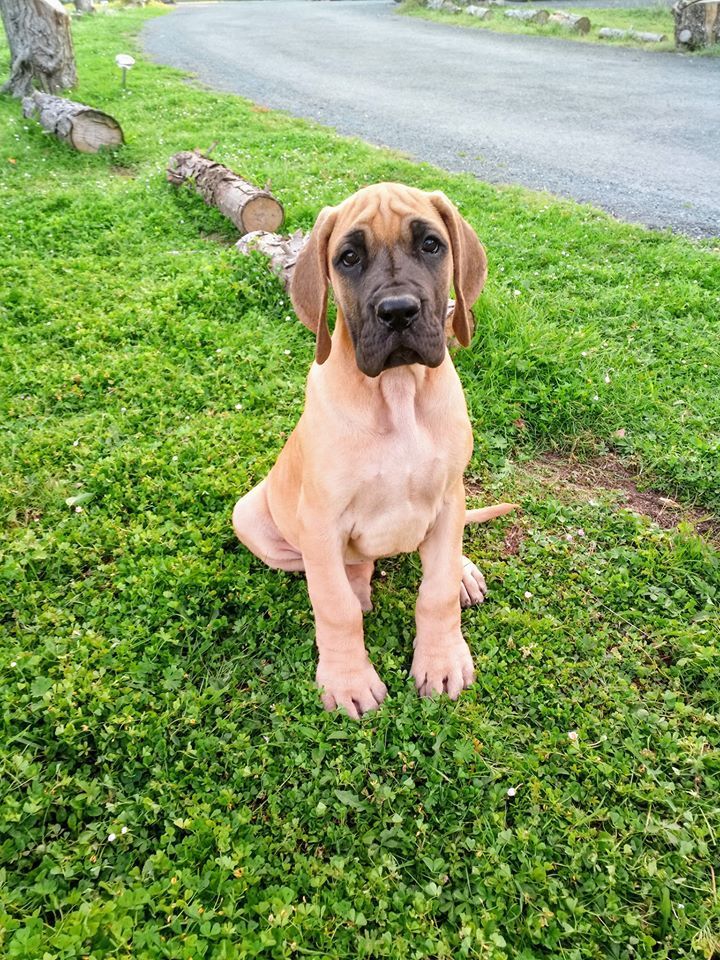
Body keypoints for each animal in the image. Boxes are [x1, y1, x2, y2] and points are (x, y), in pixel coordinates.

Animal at [233, 184, 516, 716]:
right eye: (348, 258)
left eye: (431, 245)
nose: (399, 311)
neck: (397, 392)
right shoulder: (320, 521)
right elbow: (335, 606)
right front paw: (348, 679)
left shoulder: (449, 496)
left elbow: (436, 591)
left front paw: (442, 659)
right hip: (252, 517)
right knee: (347, 569)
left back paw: (463, 572)